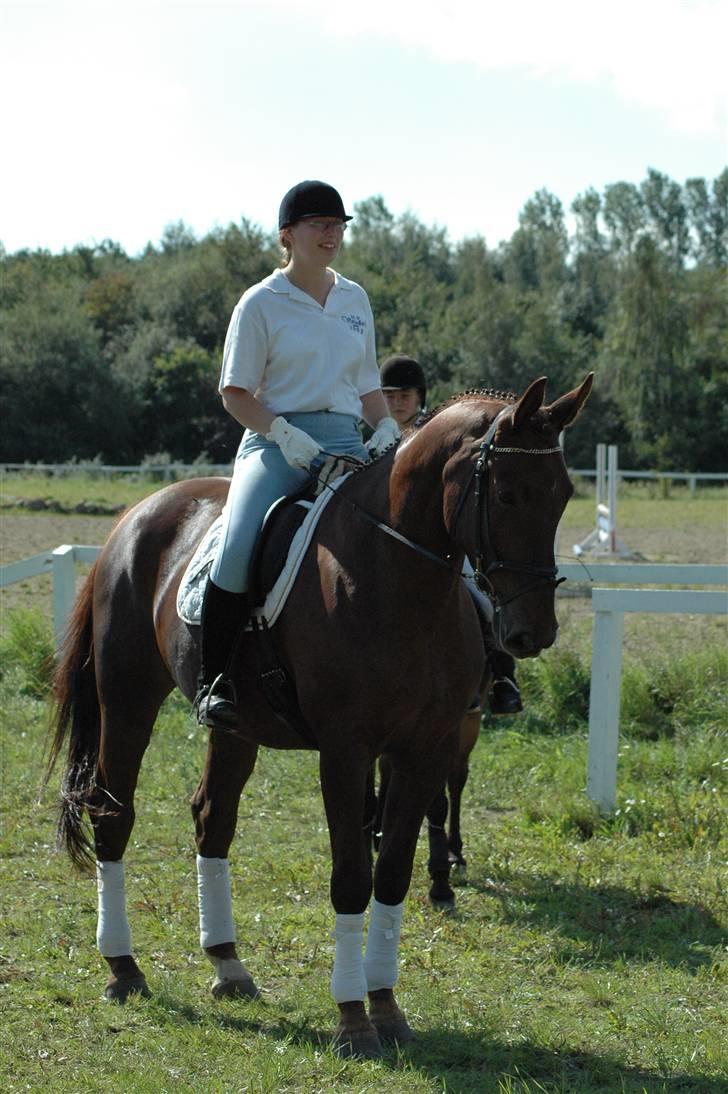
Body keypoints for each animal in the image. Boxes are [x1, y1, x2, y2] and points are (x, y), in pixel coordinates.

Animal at [45, 371, 591, 1054]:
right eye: (509, 494)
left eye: (564, 494)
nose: (532, 633)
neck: (397, 577)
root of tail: (136, 517)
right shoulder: (347, 751)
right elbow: (351, 877)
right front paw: (353, 1019)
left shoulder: (425, 747)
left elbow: (392, 874)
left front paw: (387, 1008)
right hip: (127, 700)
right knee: (113, 813)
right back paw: (123, 968)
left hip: (236, 727)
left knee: (212, 819)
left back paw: (227, 963)